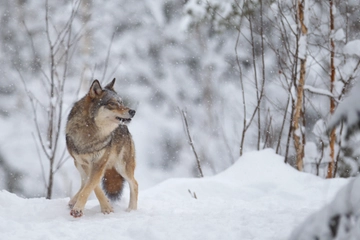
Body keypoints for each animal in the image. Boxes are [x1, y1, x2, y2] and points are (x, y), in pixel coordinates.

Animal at [64, 79, 138, 218]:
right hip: (78, 164)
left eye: (121, 102)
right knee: (84, 182)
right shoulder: (86, 163)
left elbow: (90, 186)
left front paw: (79, 209)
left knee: (135, 184)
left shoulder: (99, 163)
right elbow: (93, 186)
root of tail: (126, 128)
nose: (133, 111)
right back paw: (73, 201)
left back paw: (132, 210)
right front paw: (106, 207)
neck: (91, 133)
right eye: (112, 103)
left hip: (122, 167)